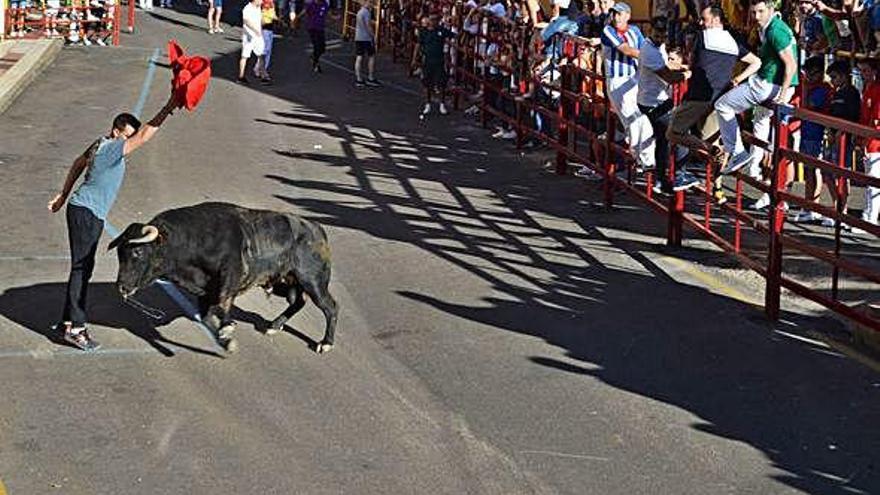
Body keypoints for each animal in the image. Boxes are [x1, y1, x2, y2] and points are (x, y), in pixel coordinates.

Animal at [109, 203, 340, 354]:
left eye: (137, 252)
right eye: (119, 254)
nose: (122, 287)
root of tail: (318, 229)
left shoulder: (230, 275)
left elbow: (223, 302)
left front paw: (227, 327)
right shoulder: (204, 292)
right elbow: (206, 317)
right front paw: (226, 341)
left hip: (313, 281)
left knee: (330, 307)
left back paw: (325, 343)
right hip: (287, 283)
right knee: (298, 301)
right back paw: (273, 325)